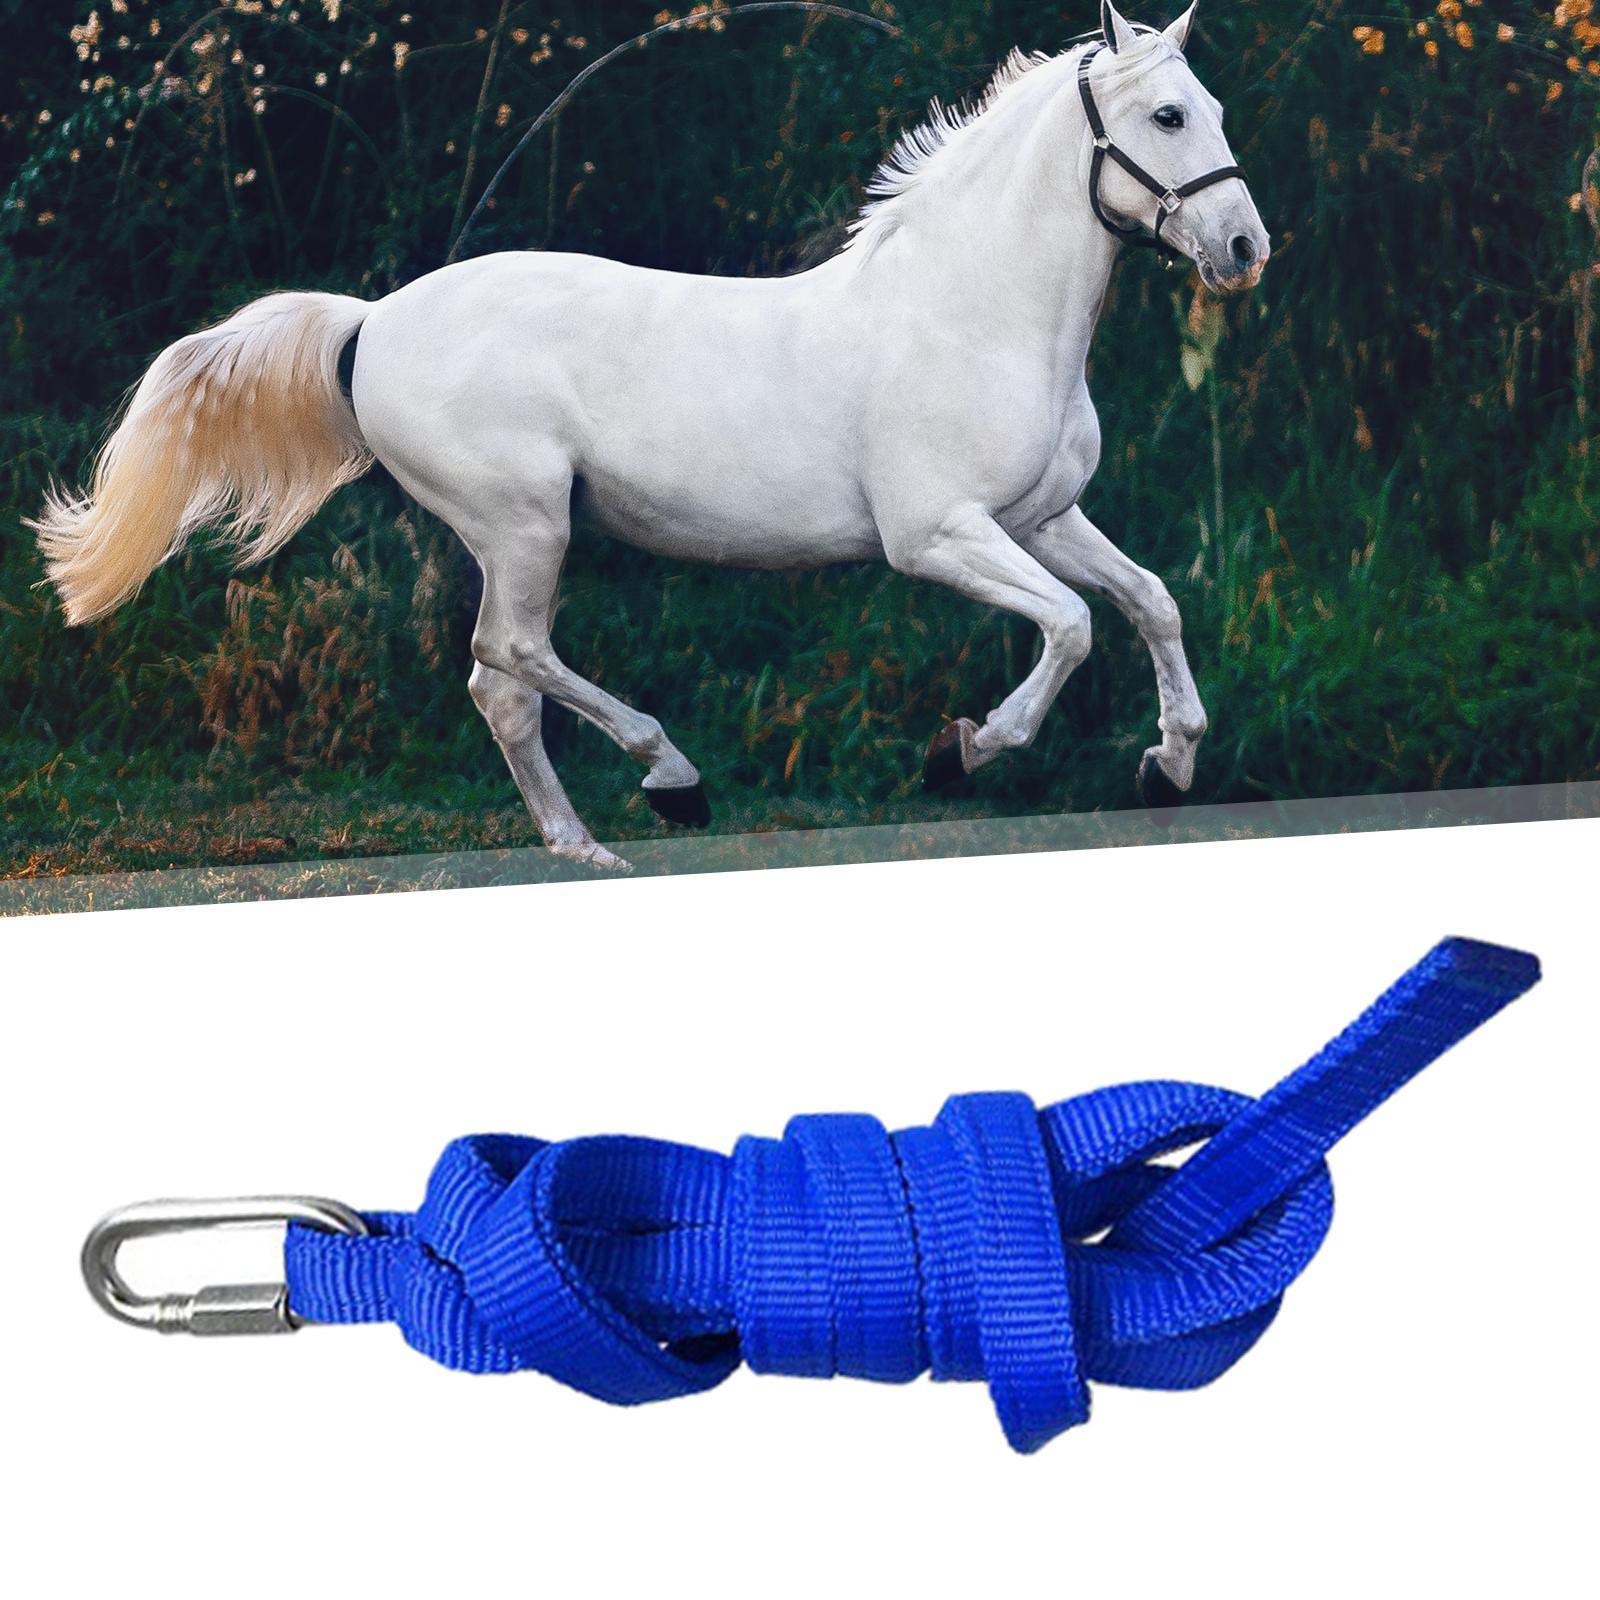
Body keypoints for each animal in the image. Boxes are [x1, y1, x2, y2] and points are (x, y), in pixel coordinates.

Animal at [33, 2, 1268, 870]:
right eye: (1167, 116)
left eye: (1212, 109)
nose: (1245, 248)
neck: (972, 309)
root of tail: (373, 320)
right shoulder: (938, 537)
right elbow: (1070, 628)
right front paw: (960, 750)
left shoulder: (1043, 518)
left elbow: (1149, 601)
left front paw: (1168, 765)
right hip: (525, 524)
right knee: (512, 657)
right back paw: (669, 779)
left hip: (515, 536)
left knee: (500, 685)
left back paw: (584, 844)